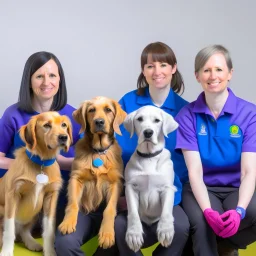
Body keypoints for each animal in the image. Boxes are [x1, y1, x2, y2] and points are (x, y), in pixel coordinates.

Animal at [0, 111, 73, 256]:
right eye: (46, 125)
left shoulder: (51, 197)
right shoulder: (12, 195)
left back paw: (31, 242)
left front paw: (50, 252)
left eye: (64, 125)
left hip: (35, 214)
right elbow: (9, 229)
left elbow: (49, 231)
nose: (64, 137)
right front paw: (6, 252)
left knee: (24, 231)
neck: (42, 163)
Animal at [58, 96, 126, 248]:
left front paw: (107, 233)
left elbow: (109, 209)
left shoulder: (115, 183)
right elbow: (73, 204)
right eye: (91, 110)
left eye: (108, 110)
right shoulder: (76, 179)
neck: (99, 151)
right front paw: (68, 222)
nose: (99, 122)